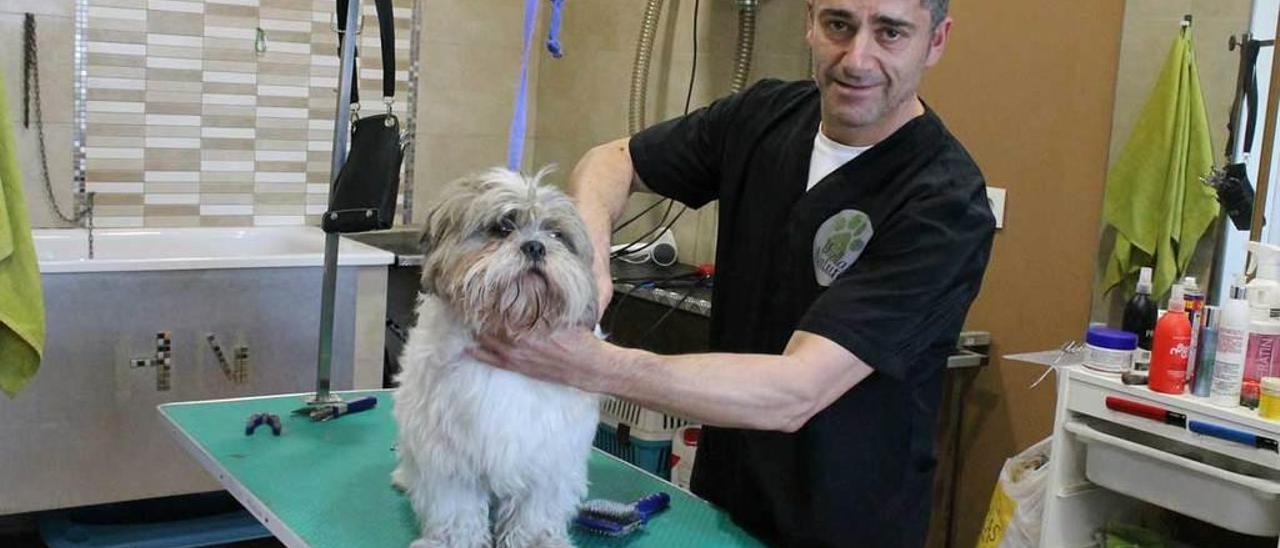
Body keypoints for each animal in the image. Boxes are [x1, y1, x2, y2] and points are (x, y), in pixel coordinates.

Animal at [394, 167, 599, 548]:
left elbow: (536, 509)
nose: (535, 246)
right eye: (502, 228)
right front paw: (454, 540)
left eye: (556, 234)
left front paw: (535, 540)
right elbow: (456, 506)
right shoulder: (447, 454)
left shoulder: (549, 456)